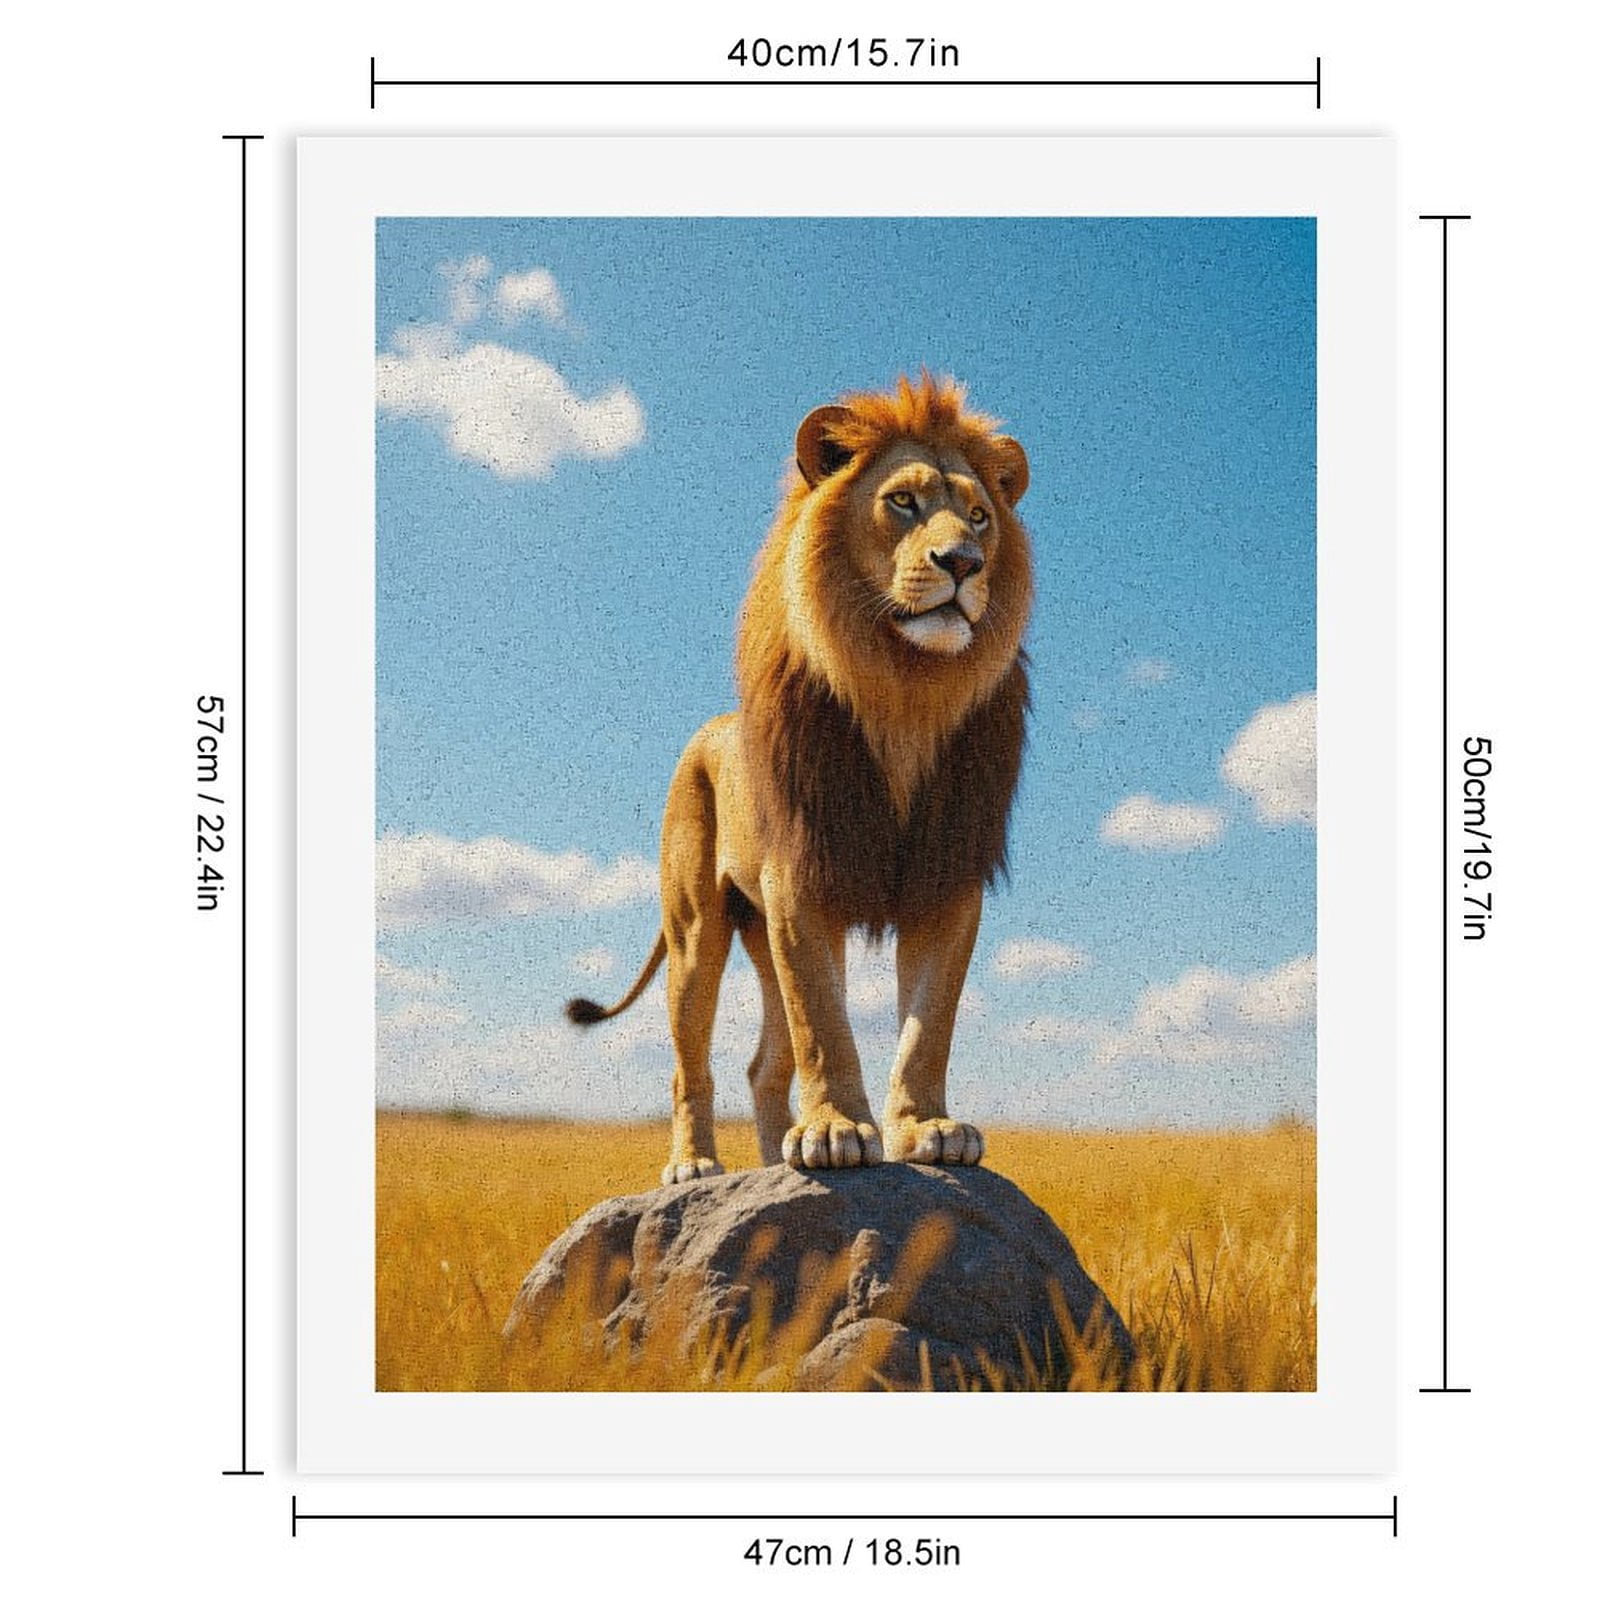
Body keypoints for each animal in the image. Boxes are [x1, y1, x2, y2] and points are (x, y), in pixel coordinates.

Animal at [568, 373, 1033, 1183]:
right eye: (903, 501)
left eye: (980, 515)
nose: (965, 563)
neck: (904, 695)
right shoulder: (800, 877)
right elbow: (825, 1022)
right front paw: (836, 1131)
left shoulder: (948, 882)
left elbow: (928, 1025)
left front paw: (927, 1127)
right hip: (697, 932)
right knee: (691, 1063)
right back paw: (697, 1166)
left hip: (760, 936)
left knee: (764, 1066)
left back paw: (767, 1162)